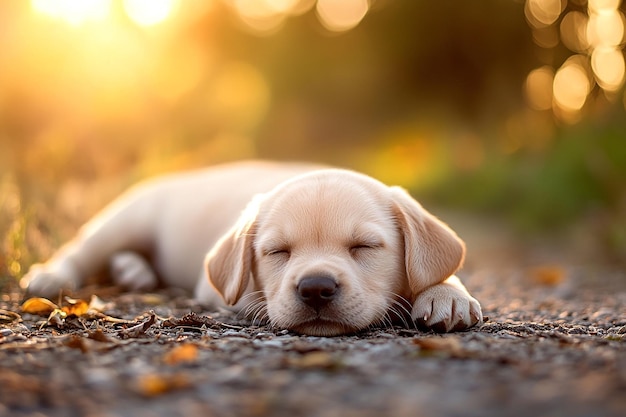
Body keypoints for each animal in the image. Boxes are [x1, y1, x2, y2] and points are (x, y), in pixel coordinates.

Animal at [22, 159, 480, 334]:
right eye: (277, 252)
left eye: (364, 247)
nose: (316, 288)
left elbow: (439, 269)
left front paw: (447, 295)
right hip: (126, 218)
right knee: (81, 248)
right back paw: (50, 276)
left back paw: (133, 271)